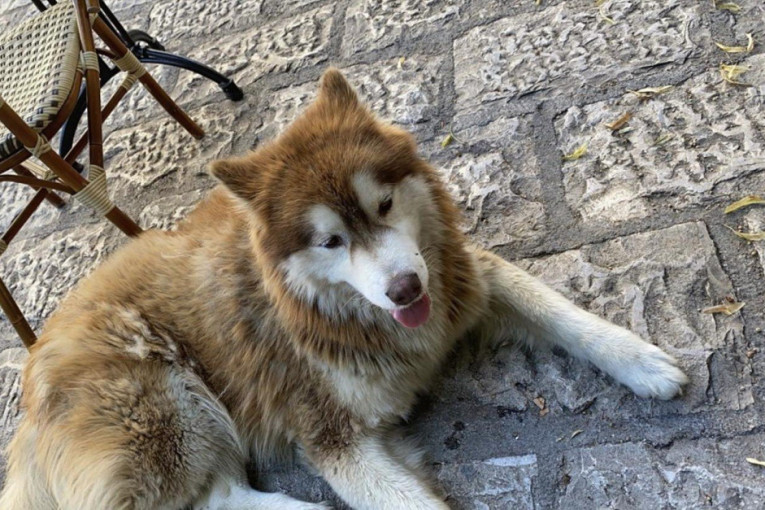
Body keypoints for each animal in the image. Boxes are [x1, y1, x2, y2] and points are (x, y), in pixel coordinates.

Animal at [0, 68, 688, 510]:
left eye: (382, 204)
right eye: (330, 242)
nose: (406, 289)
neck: (341, 313)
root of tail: (29, 393)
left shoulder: (466, 277)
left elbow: (560, 310)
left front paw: (642, 361)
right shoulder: (330, 435)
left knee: (221, 493)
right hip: (170, 410)